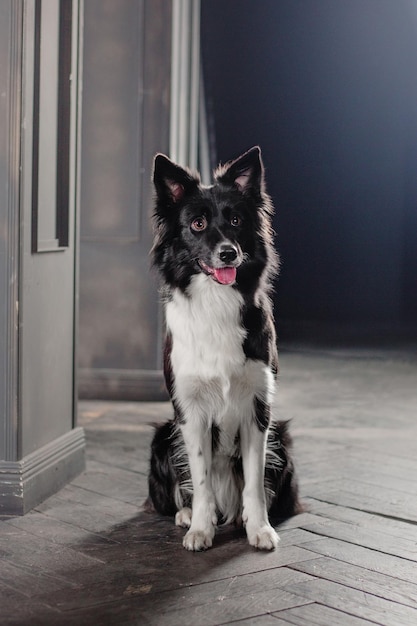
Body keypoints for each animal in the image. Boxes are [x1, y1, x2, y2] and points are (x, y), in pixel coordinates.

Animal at [145, 147, 300, 552]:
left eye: (235, 220)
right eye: (197, 224)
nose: (229, 253)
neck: (216, 300)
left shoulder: (258, 409)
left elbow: (254, 481)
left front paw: (259, 528)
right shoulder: (190, 410)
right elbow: (200, 479)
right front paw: (201, 528)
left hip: (280, 437)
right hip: (163, 437)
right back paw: (188, 515)